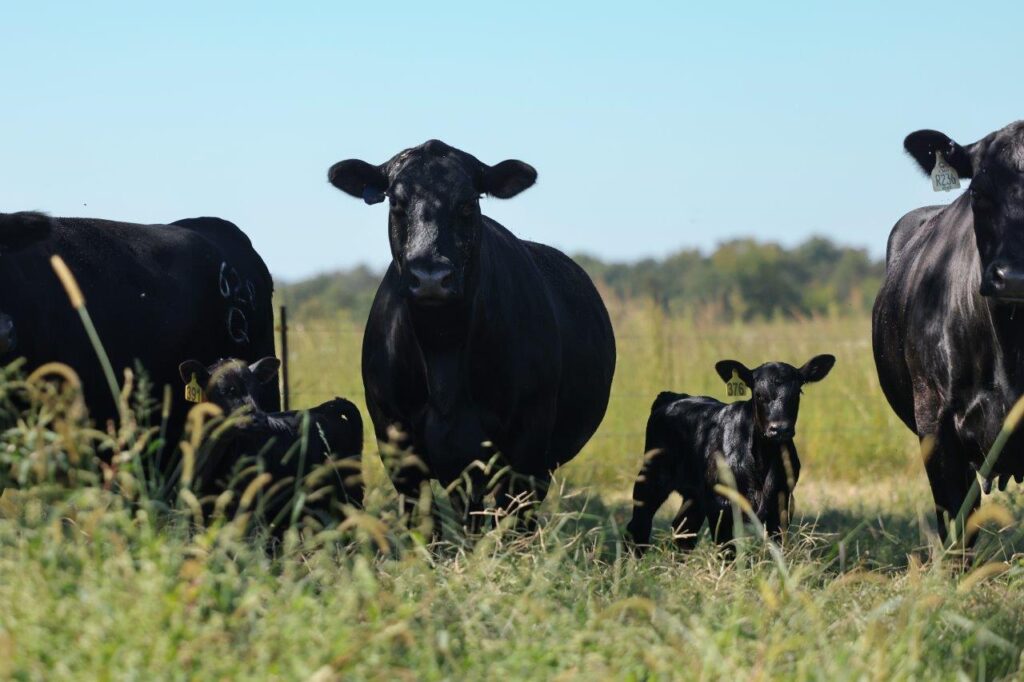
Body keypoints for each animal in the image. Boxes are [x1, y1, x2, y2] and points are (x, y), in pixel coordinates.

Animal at [327, 139, 616, 535]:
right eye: (396, 202)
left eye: (467, 202)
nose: (430, 276)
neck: (442, 352)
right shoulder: (393, 435)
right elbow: (424, 522)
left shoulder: (527, 440)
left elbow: (513, 519)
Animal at [626, 355, 835, 552]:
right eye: (758, 394)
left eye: (797, 393)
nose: (780, 429)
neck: (764, 459)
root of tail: (672, 397)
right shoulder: (721, 505)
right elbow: (727, 550)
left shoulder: (782, 503)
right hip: (650, 478)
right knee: (638, 526)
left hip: (695, 494)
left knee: (683, 530)